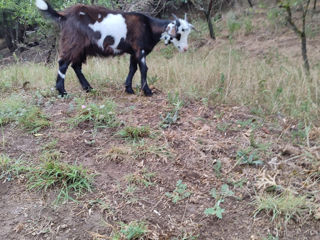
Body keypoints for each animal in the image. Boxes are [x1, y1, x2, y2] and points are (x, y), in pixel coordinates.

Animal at [36, 0, 194, 95]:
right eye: (178, 34)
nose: (185, 49)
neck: (148, 26)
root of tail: (64, 15)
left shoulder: (133, 51)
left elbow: (132, 68)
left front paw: (129, 89)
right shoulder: (140, 49)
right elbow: (144, 69)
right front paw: (147, 91)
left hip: (81, 48)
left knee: (76, 66)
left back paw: (88, 88)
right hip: (72, 43)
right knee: (63, 64)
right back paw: (62, 91)